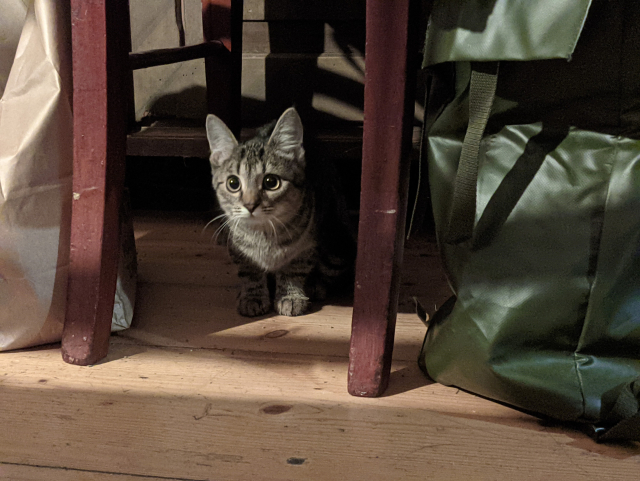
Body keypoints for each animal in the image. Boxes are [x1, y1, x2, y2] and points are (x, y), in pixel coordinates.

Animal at [205, 107, 356, 316]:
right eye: (233, 183)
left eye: (271, 182)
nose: (250, 205)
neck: (264, 234)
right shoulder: (238, 250)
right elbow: (250, 271)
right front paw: (252, 296)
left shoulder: (307, 246)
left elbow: (295, 268)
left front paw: (290, 296)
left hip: (337, 246)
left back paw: (315, 285)